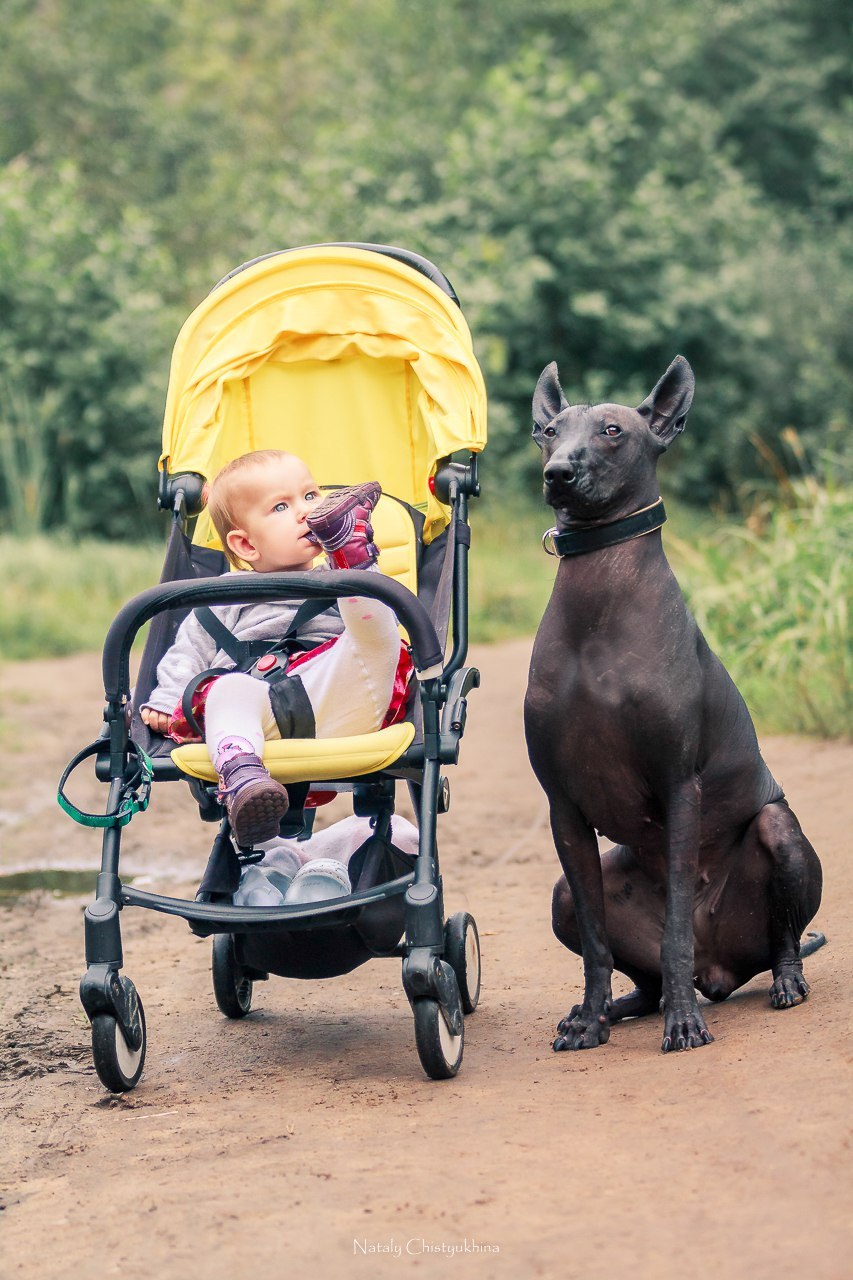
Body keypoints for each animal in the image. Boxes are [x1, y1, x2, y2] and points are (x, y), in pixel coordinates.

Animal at [522, 358, 819, 1049]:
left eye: (612, 431)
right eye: (549, 430)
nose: (558, 473)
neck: (599, 603)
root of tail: (723, 970)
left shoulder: (681, 786)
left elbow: (677, 925)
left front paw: (684, 1023)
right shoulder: (562, 808)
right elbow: (598, 946)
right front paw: (589, 1019)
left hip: (779, 835)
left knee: (777, 939)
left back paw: (776, 983)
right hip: (562, 896)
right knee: (640, 972)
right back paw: (617, 1008)